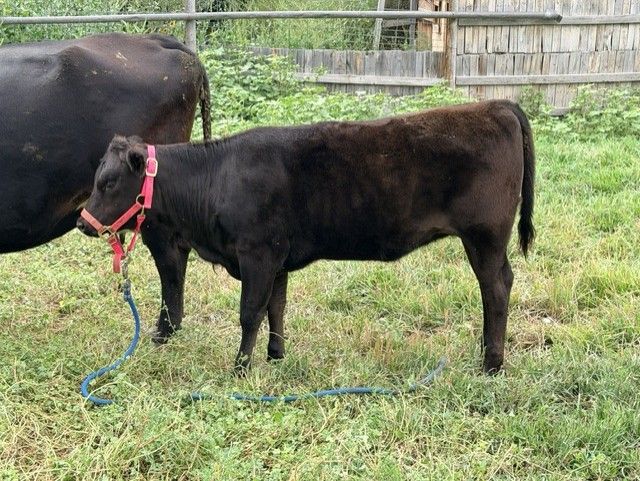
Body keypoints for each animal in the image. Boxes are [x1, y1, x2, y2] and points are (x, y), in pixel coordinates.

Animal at [77, 100, 535, 375]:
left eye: (108, 182)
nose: (83, 222)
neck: (219, 176)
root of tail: (496, 106)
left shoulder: (257, 253)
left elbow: (250, 312)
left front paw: (240, 367)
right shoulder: (277, 258)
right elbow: (275, 308)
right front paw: (276, 356)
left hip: (485, 237)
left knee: (496, 289)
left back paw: (491, 363)